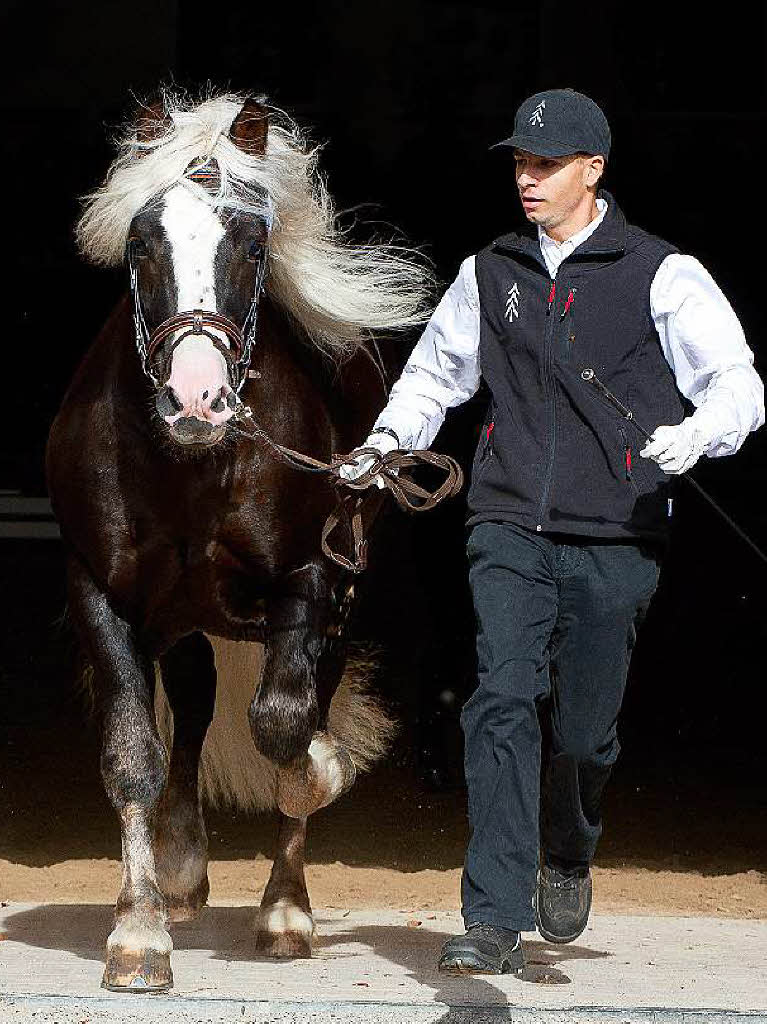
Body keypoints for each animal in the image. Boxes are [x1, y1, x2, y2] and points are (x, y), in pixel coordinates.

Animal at [44, 90, 434, 991]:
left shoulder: (311, 581)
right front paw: (139, 934)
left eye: (251, 245)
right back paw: (183, 870)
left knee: (296, 700)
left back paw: (284, 911)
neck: (193, 465)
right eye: (141, 241)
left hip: (333, 607)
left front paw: (322, 778)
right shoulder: (100, 594)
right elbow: (133, 754)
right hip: (184, 616)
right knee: (191, 705)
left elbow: (285, 727)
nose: (198, 398)